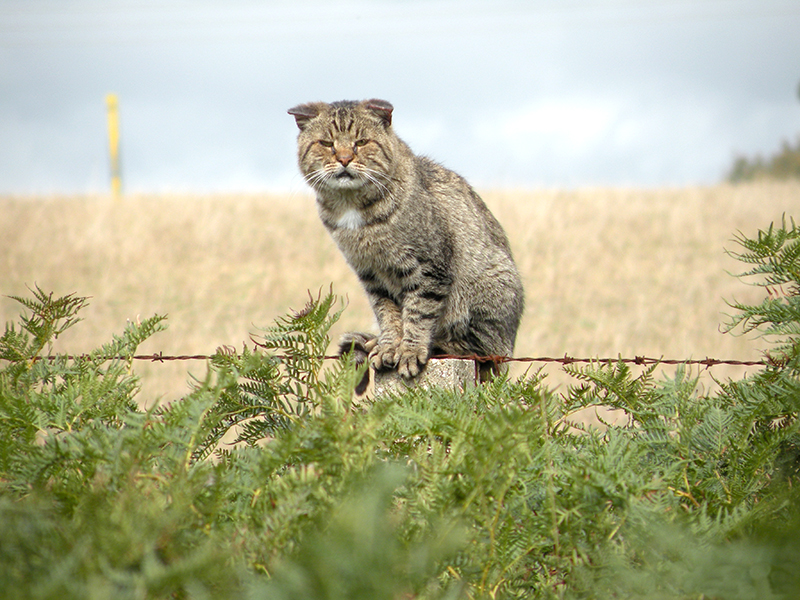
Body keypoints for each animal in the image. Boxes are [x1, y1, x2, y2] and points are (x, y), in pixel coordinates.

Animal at [290, 98, 524, 380]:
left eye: (361, 142)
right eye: (327, 143)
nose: (344, 158)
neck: (353, 210)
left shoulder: (429, 268)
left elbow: (418, 312)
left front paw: (410, 350)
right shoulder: (371, 275)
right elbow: (388, 314)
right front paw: (389, 345)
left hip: (489, 288)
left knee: (483, 349)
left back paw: (438, 344)